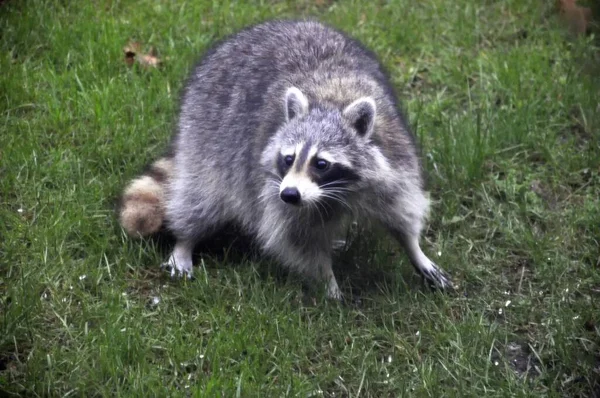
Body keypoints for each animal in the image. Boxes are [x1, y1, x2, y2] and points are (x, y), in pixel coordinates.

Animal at [119, 18, 452, 298]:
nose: (290, 194)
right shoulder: (275, 193)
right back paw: (186, 240)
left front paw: (415, 250)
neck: (330, 101)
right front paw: (328, 283)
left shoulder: (395, 159)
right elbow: (298, 241)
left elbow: (401, 211)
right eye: (288, 159)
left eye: (321, 164)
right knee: (202, 198)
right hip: (206, 137)